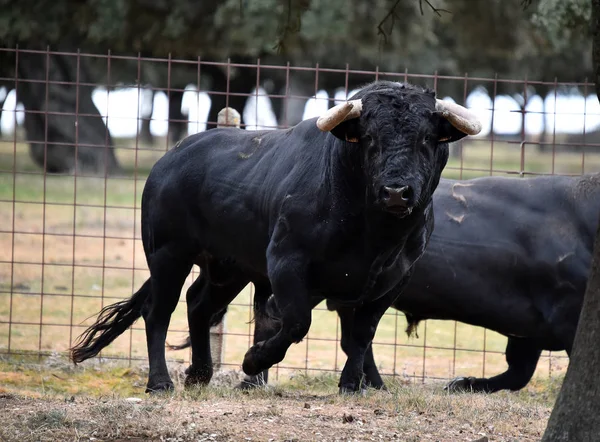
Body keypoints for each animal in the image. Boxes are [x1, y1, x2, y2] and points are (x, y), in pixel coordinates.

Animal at [69, 80, 482, 394]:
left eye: (427, 139)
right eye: (368, 139)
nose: (396, 192)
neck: (374, 234)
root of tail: (170, 159)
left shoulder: (391, 279)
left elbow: (361, 336)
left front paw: (352, 386)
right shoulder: (286, 262)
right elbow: (296, 322)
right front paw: (254, 362)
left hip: (229, 267)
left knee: (199, 305)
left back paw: (200, 374)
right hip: (168, 254)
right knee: (159, 311)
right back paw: (160, 382)